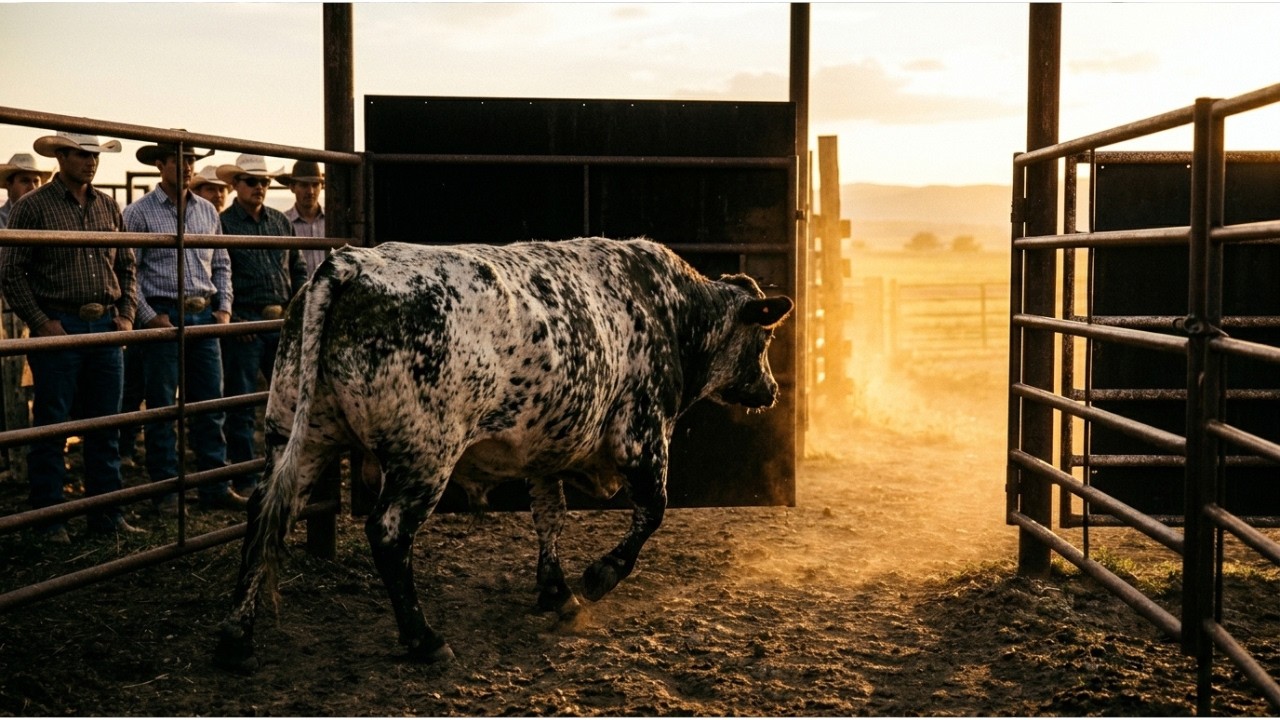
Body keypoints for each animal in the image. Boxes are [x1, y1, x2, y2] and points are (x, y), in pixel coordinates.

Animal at [213, 236, 793, 671]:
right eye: (763, 340)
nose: (769, 390)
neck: (671, 311)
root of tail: (347, 265)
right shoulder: (642, 433)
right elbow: (653, 511)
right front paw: (598, 576)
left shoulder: (547, 448)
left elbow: (550, 516)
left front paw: (556, 591)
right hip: (425, 456)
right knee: (388, 532)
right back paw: (424, 639)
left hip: (298, 434)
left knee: (264, 513)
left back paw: (237, 638)